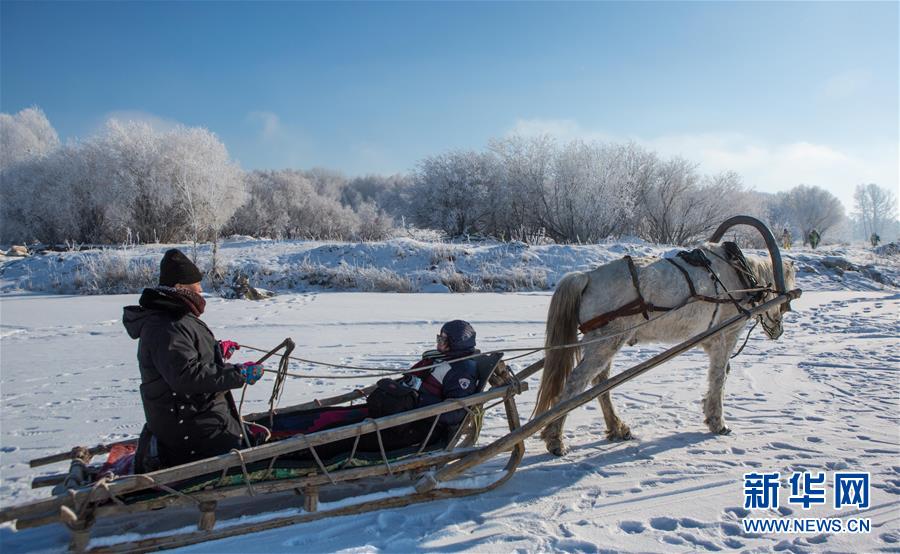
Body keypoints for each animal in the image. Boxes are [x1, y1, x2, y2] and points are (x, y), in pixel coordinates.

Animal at [536, 244, 796, 454]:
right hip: (606, 341)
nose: (779, 330)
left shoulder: (710, 339)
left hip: (605, 341)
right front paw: (717, 421)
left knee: (600, 382)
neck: (739, 276)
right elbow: (719, 376)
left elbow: (721, 375)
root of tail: (586, 276)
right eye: (784, 304)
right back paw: (555, 438)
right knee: (577, 382)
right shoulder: (725, 336)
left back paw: (617, 428)